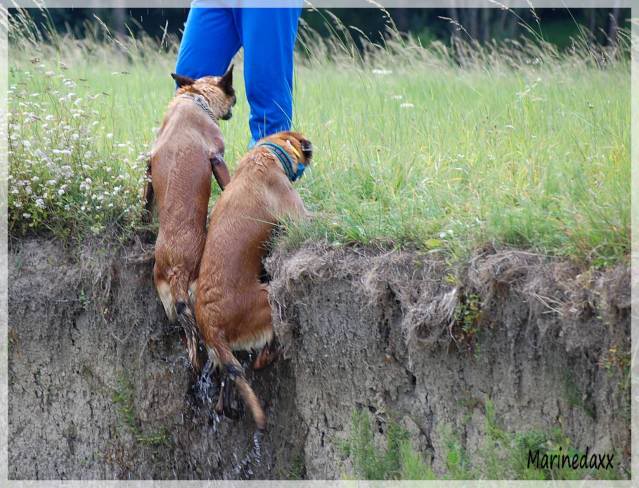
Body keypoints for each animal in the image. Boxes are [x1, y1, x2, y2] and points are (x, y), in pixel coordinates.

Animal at [144, 66, 236, 372]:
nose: (234, 106)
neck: (194, 100)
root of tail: (176, 268)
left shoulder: (147, 165)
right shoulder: (217, 157)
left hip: (175, 309)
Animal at [196, 131, 314, 430]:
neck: (266, 153)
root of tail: (210, 324)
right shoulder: (300, 215)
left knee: (229, 388)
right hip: (267, 299)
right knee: (263, 356)